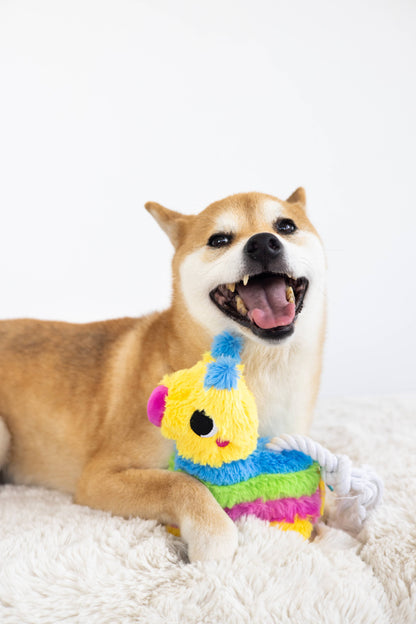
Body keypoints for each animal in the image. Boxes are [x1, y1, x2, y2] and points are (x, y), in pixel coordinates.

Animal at [0, 188, 326, 564]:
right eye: (219, 240)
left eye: (286, 226)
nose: (262, 243)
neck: (258, 371)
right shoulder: (100, 476)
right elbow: (181, 483)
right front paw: (214, 534)